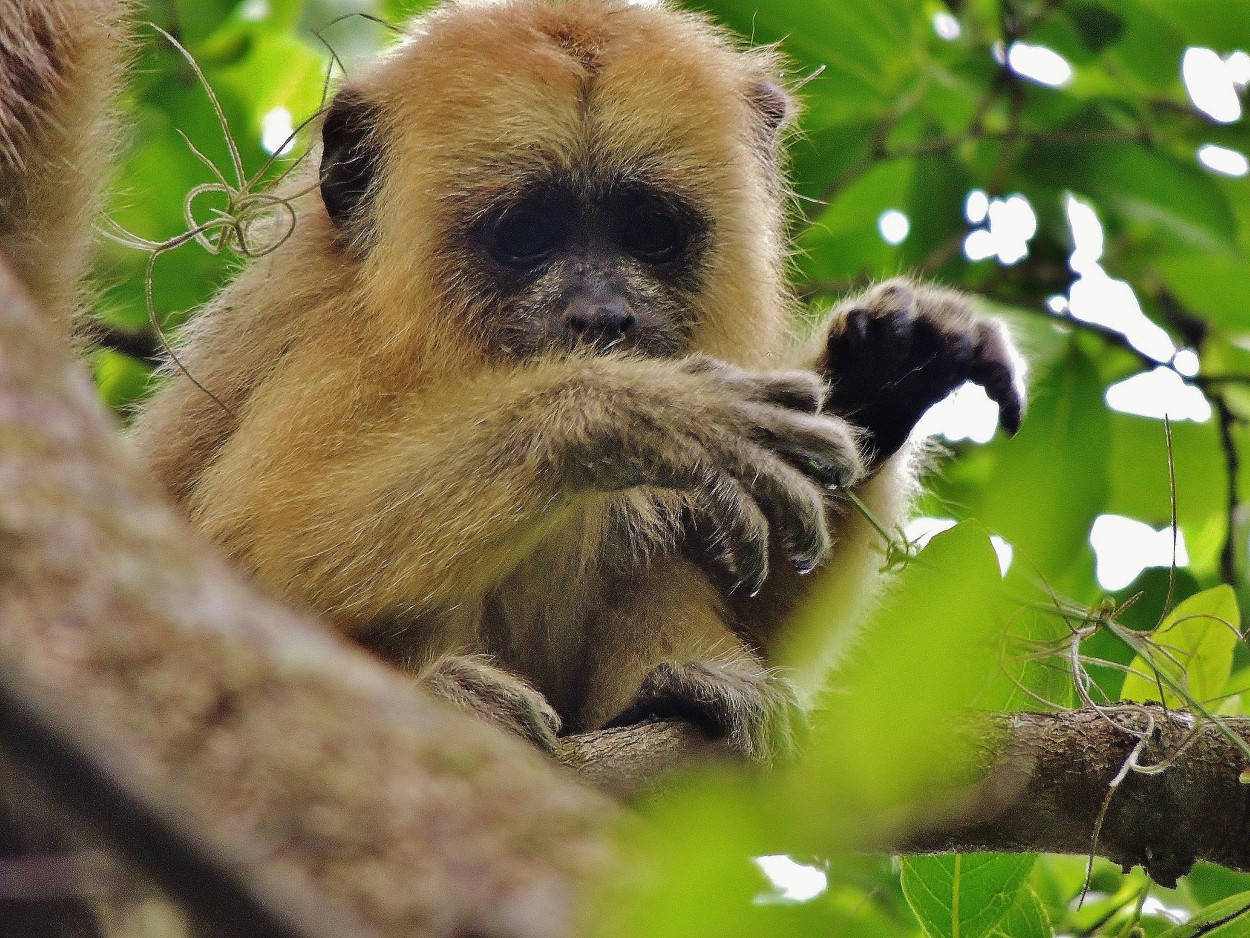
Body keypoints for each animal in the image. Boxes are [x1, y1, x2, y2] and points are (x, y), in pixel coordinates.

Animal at [2, 0, 1025, 765]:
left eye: (648, 229)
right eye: (527, 234)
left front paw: (885, 373)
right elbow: (235, 563)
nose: (601, 317)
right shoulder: (341, 350)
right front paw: (628, 414)